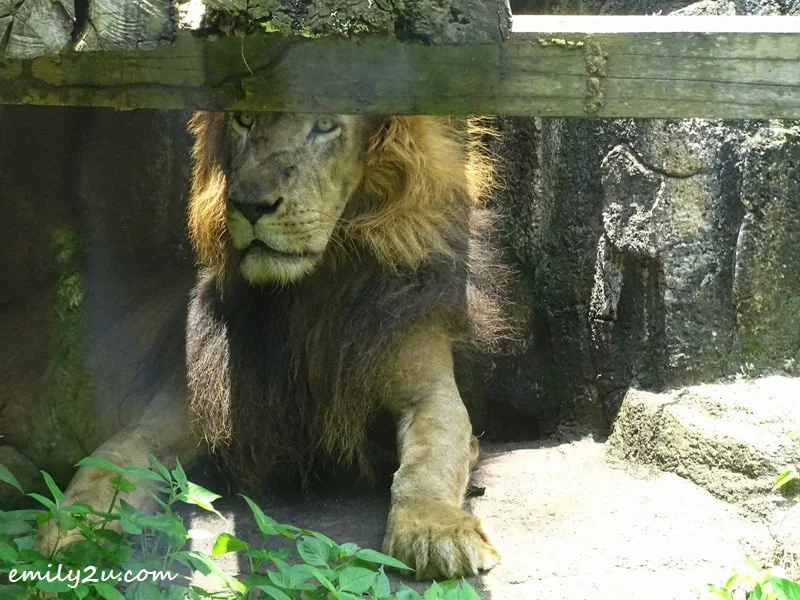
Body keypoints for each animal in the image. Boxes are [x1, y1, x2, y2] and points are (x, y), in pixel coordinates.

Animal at [26, 111, 505, 580]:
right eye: (244, 120)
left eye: (325, 125)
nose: (250, 205)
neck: (306, 289)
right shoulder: (178, 412)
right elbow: (105, 467)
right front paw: (65, 540)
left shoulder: (426, 390)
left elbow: (431, 458)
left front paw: (435, 531)